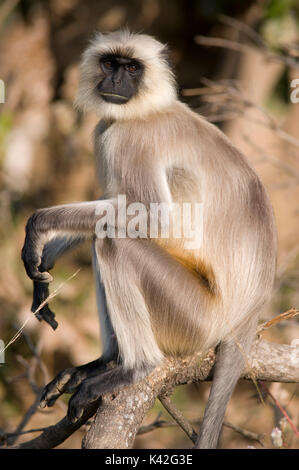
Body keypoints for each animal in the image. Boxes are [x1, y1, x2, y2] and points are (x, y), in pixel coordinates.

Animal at [21, 29, 278, 448]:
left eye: (132, 68)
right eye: (110, 63)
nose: (115, 80)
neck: (148, 110)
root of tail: (247, 315)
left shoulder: (128, 139)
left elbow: (152, 216)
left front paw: (40, 225)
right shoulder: (107, 130)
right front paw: (48, 255)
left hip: (195, 320)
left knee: (113, 243)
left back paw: (135, 367)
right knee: (106, 237)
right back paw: (103, 363)